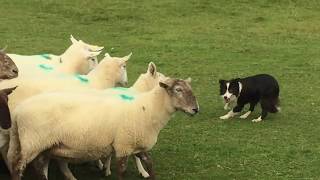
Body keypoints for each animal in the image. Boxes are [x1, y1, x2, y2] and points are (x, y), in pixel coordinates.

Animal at [8, 76, 200, 179]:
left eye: (190, 88)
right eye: (178, 90)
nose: (196, 109)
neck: (148, 108)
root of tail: (17, 112)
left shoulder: (139, 144)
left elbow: (150, 165)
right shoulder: (123, 145)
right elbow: (122, 171)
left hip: (42, 145)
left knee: (39, 167)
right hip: (33, 142)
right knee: (18, 167)